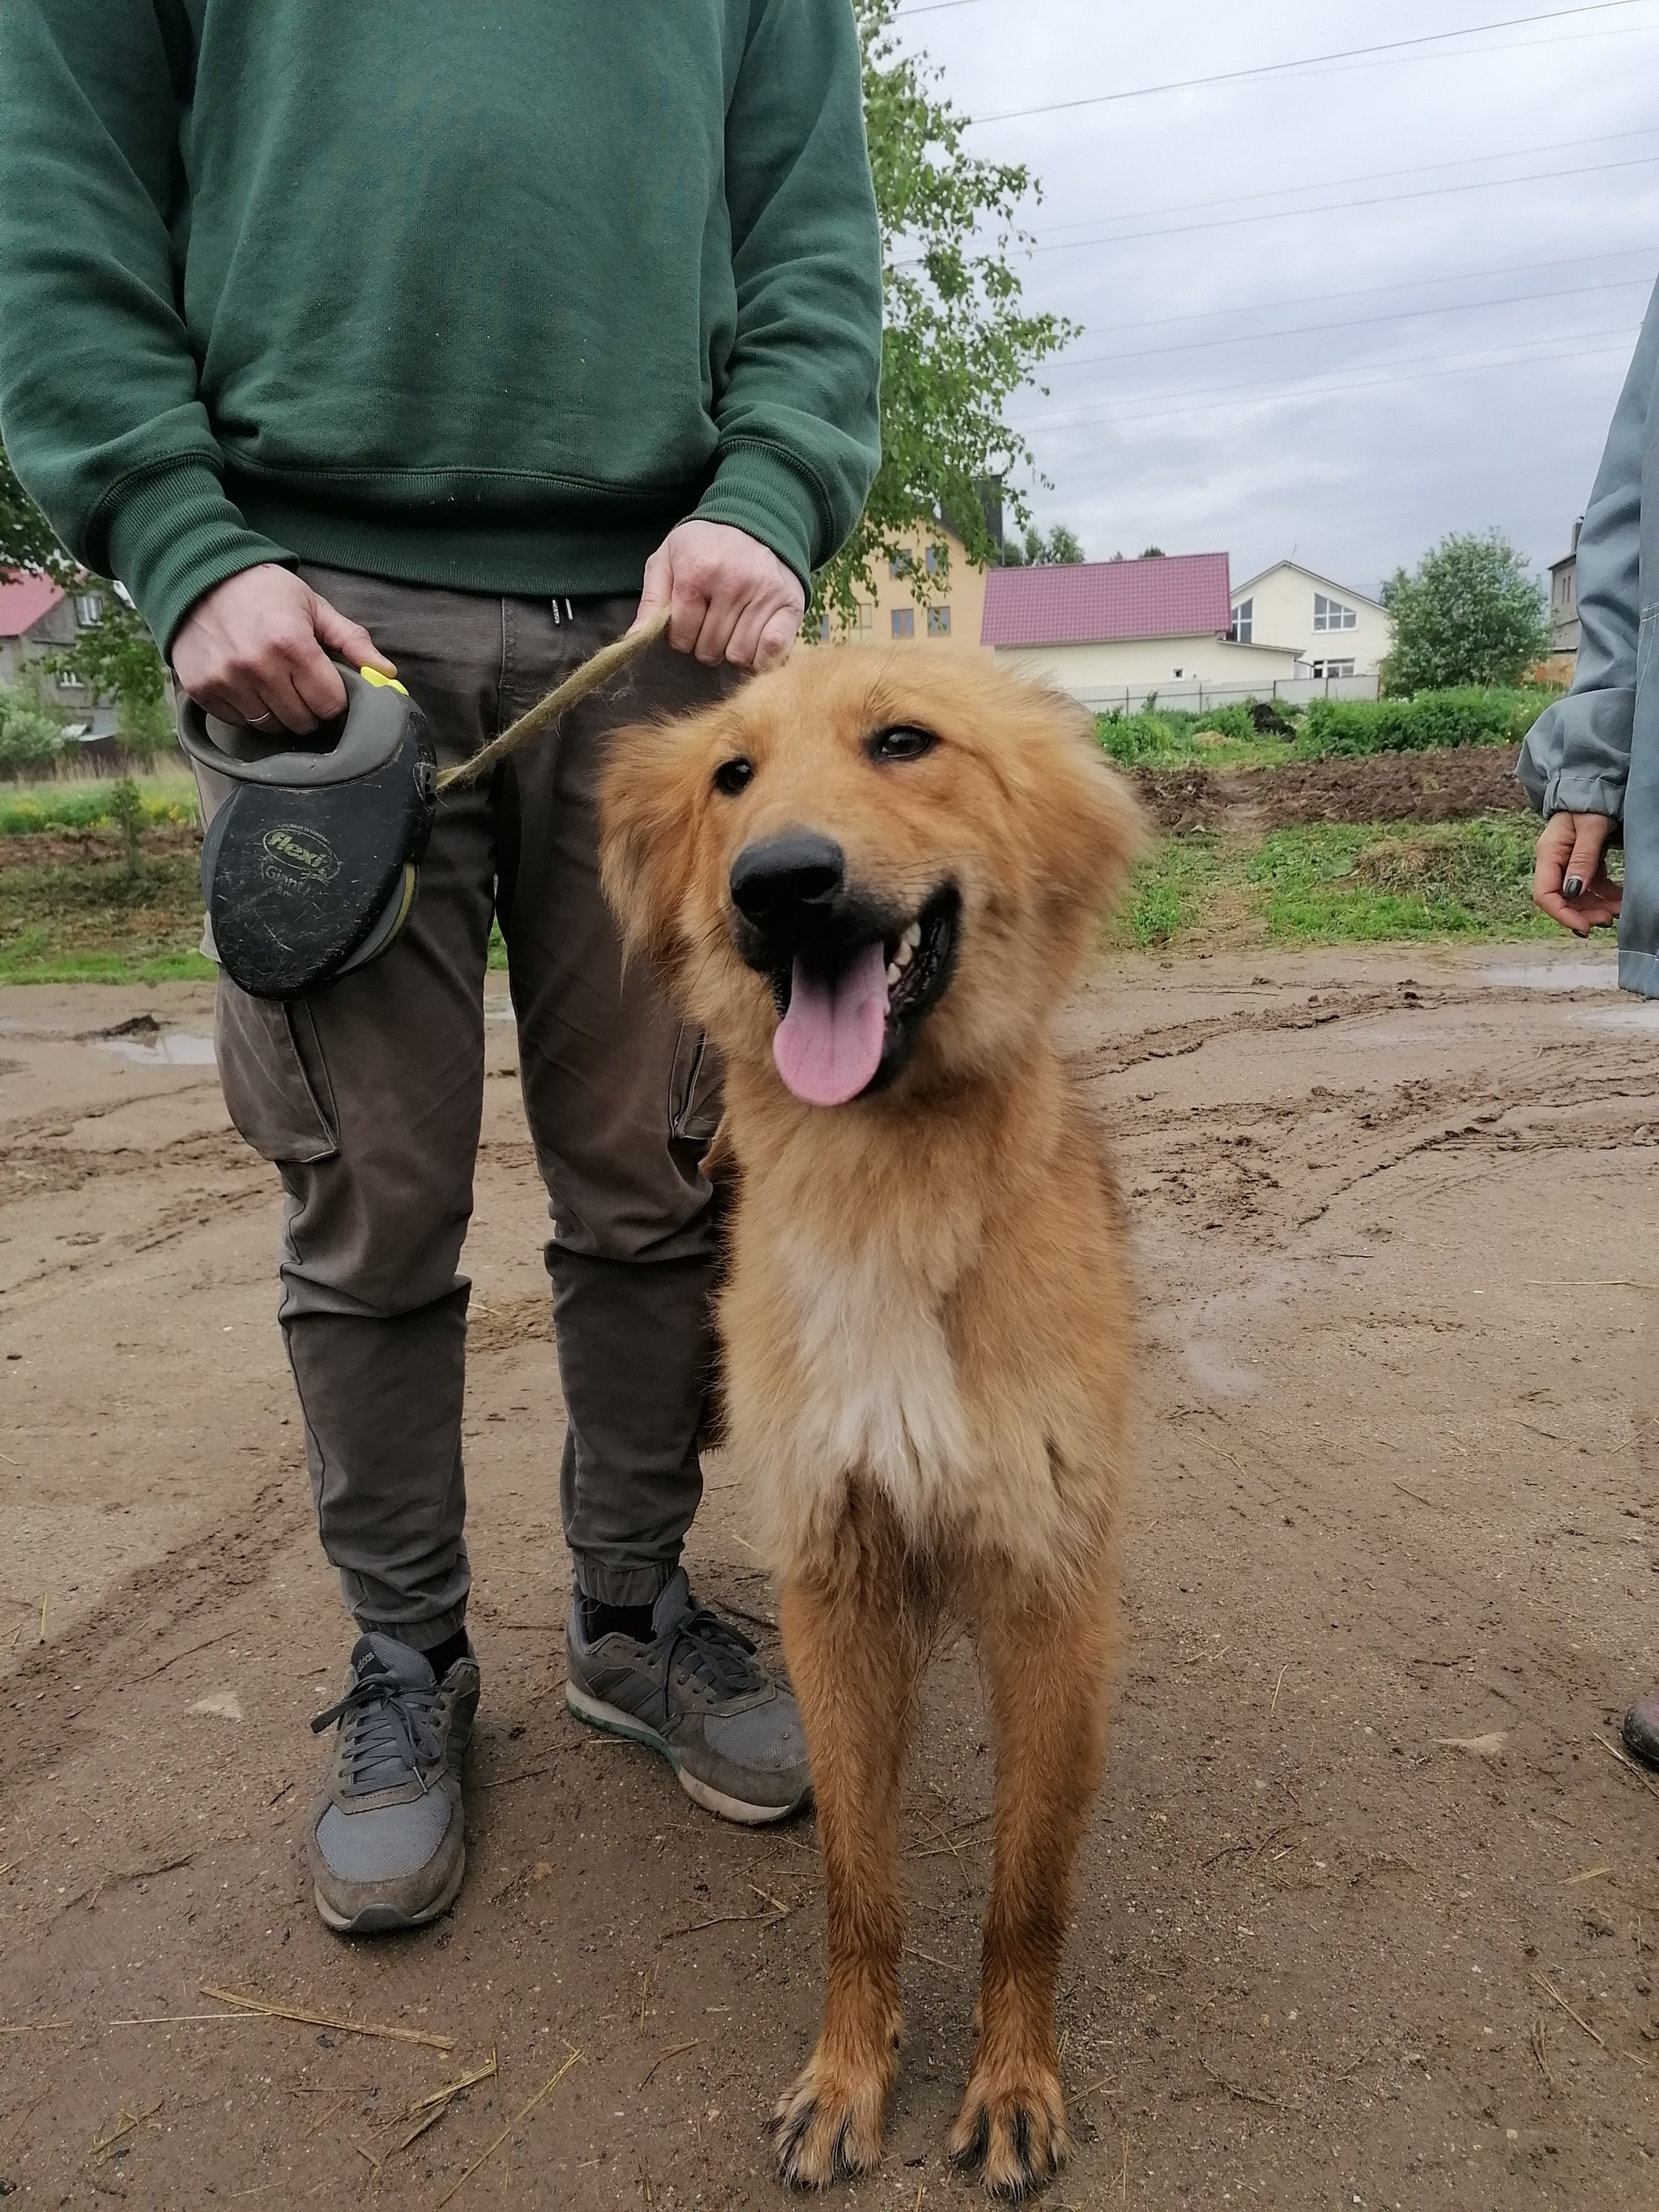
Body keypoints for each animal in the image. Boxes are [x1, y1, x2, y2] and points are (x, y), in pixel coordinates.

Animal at [606, 650, 1141, 2194]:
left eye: (905, 743)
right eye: (731, 775)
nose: (779, 882)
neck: (887, 1187)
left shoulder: (1050, 1589)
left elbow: (1027, 1889)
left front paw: (1012, 2079)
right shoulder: (833, 1583)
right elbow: (859, 1878)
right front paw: (850, 2074)